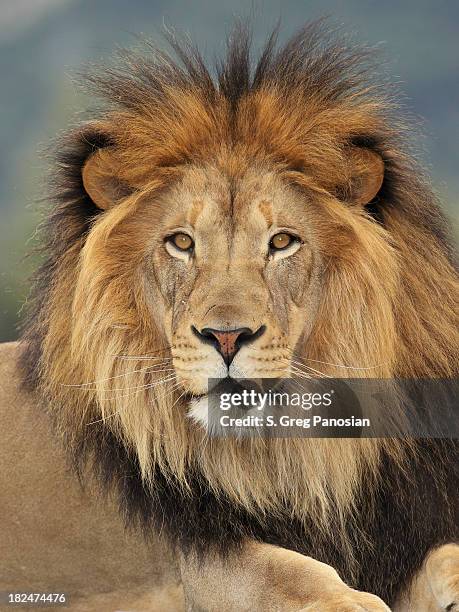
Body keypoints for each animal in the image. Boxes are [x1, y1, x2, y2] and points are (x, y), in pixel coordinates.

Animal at [1, 21, 458, 608]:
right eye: (181, 242)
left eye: (282, 242)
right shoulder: (197, 556)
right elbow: (287, 571)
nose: (225, 337)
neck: (290, 457)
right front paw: (354, 600)